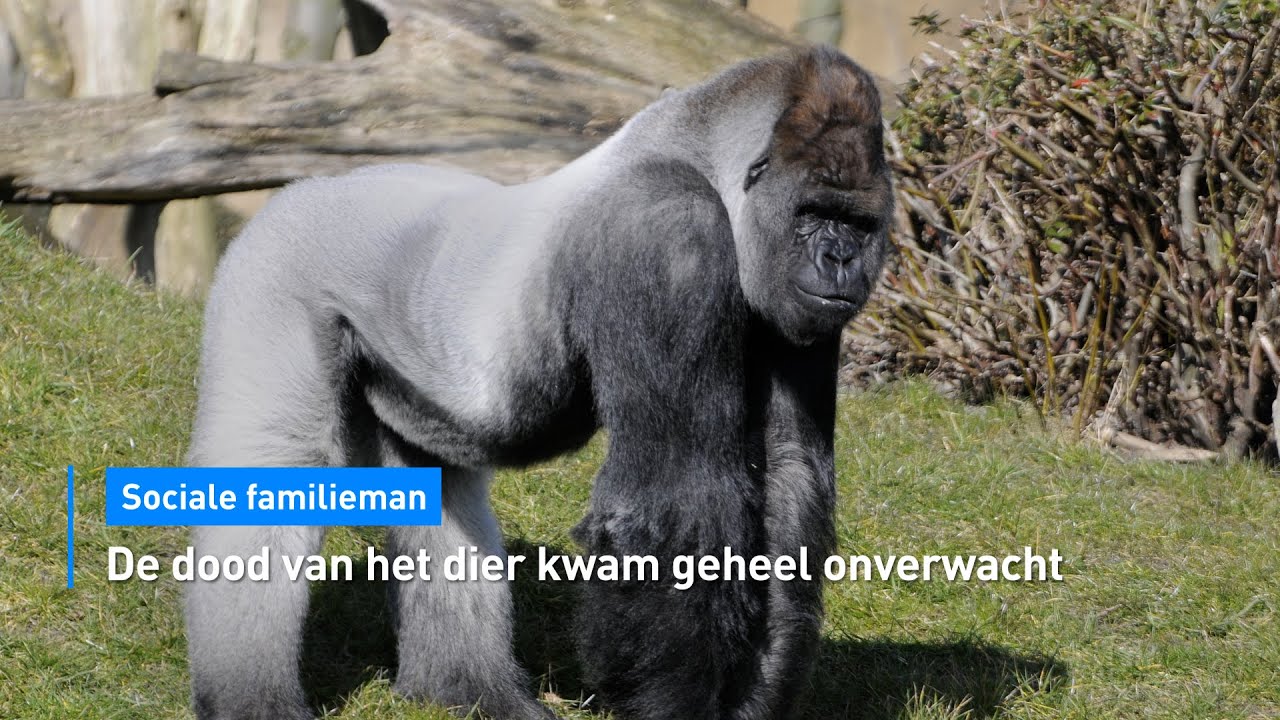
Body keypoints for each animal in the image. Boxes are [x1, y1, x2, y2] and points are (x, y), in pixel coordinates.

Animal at [184, 45, 892, 720]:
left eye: (860, 224)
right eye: (812, 213)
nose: (840, 260)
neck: (699, 154)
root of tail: (308, 185)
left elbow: (788, 477)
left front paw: (755, 699)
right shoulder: (666, 232)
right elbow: (675, 497)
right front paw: (679, 703)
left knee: (437, 485)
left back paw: (465, 688)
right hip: (274, 261)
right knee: (273, 461)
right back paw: (251, 700)